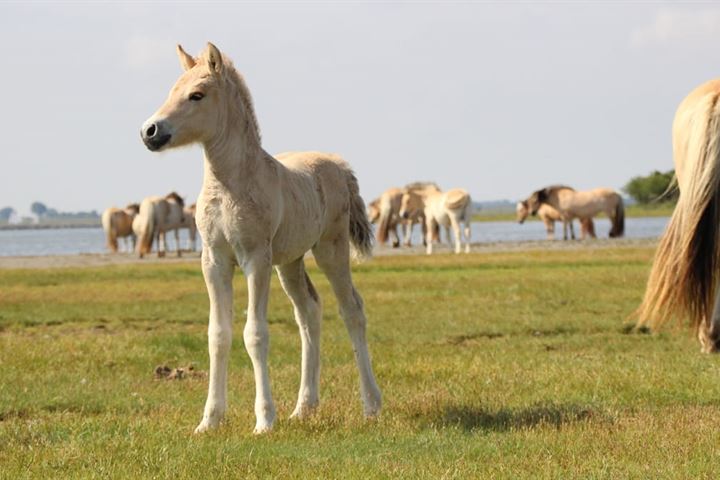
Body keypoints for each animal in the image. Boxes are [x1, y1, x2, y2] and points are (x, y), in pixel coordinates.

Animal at [143, 41, 386, 434]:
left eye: (197, 95)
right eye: (171, 91)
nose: (150, 131)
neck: (231, 185)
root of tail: (339, 165)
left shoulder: (255, 259)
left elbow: (254, 334)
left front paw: (264, 420)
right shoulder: (213, 260)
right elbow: (218, 335)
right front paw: (209, 420)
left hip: (330, 249)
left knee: (352, 310)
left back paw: (371, 404)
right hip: (290, 261)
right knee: (309, 312)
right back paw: (304, 407)